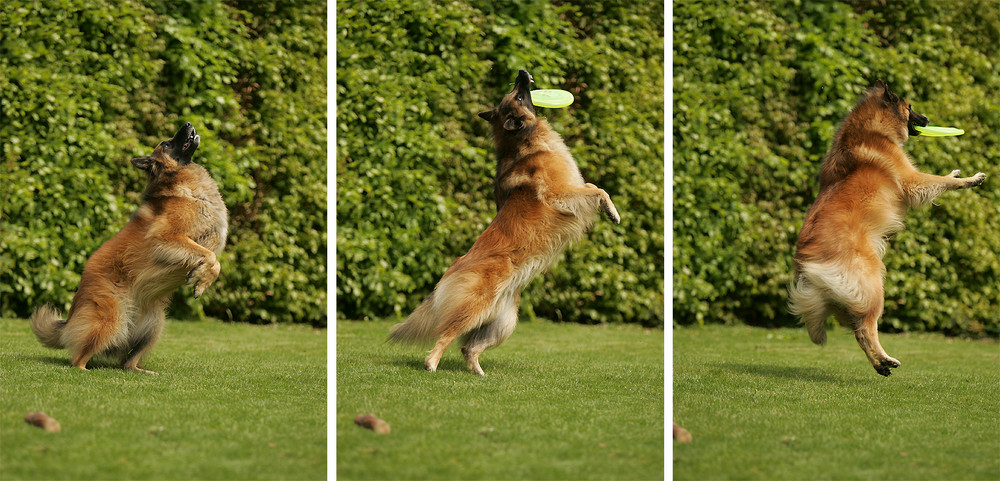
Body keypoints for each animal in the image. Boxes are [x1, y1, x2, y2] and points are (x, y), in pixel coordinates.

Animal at [30, 122, 229, 374]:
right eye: (167, 144)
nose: (188, 124)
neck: (181, 187)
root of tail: (73, 312)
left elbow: (215, 262)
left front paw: (202, 281)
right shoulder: (164, 237)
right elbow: (211, 257)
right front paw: (200, 280)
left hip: (154, 325)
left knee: (127, 363)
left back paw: (144, 372)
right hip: (110, 320)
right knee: (78, 360)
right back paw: (87, 371)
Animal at [388, 69, 616, 376]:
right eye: (518, 96)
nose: (521, 72)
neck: (523, 140)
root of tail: (455, 266)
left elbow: (592, 186)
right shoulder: (559, 194)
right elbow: (598, 189)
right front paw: (612, 211)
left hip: (502, 322)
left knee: (467, 347)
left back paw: (479, 374)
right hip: (475, 308)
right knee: (445, 335)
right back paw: (431, 363)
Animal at [792, 79, 988, 376]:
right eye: (910, 107)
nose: (927, 119)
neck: (869, 130)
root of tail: (805, 257)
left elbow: (943, 178)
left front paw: (955, 173)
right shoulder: (911, 180)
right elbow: (941, 181)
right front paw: (970, 178)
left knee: (858, 328)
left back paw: (880, 364)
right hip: (873, 282)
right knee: (866, 328)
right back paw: (885, 359)